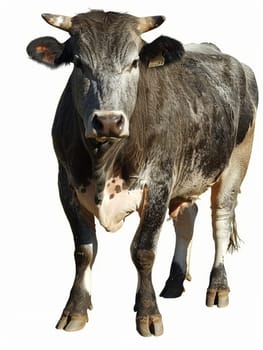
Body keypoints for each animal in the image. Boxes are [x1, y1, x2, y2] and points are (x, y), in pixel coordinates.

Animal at [26, 8, 258, 336]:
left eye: (134, 62)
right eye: (79, 63)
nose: (108, 121)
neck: (104, 160)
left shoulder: (158, 186)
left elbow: (143, 251)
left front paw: (148, 313)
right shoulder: (67, 186)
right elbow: (84, 251)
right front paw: (75, 309)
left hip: (236, 163)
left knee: (220, 223)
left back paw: (218, 287)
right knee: (187, 218)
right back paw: (174, 282)